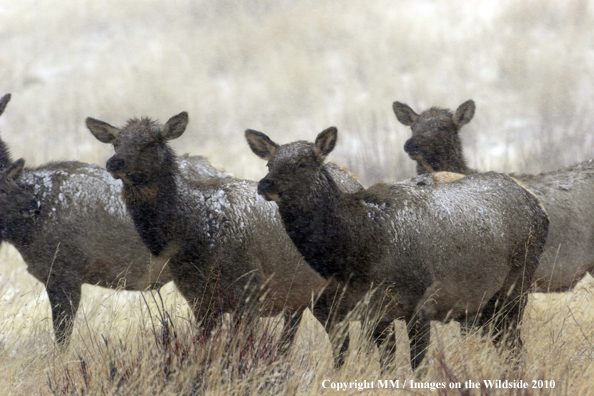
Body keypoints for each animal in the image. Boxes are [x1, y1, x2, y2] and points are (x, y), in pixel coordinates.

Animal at [244, 126, 544, 372]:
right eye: (270, 162)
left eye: (303, 163)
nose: (265, 183)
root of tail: (537, 205)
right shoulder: (374, 312)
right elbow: (386, 366)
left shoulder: (421, 301)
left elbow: (417, 366)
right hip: (486, 303)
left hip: (516, 287)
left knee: (515, 347)